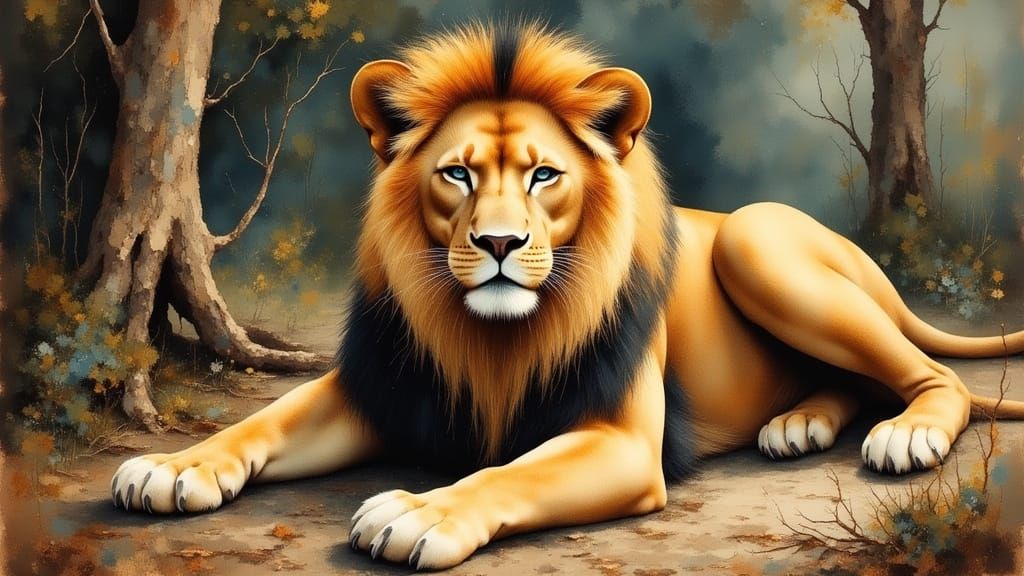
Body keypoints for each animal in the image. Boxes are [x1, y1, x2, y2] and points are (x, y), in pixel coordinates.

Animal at [111, 22, 1024, 569]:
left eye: (544, 175)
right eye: (457, 174)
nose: (499, 245)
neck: (487, 336)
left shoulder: (621, 441)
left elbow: (505, 473)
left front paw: (420, 512)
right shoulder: (382, 388)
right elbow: (260, 421)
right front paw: (170, 466)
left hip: (757, 242)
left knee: (935, 379)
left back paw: (904, 436)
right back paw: (798, 424)